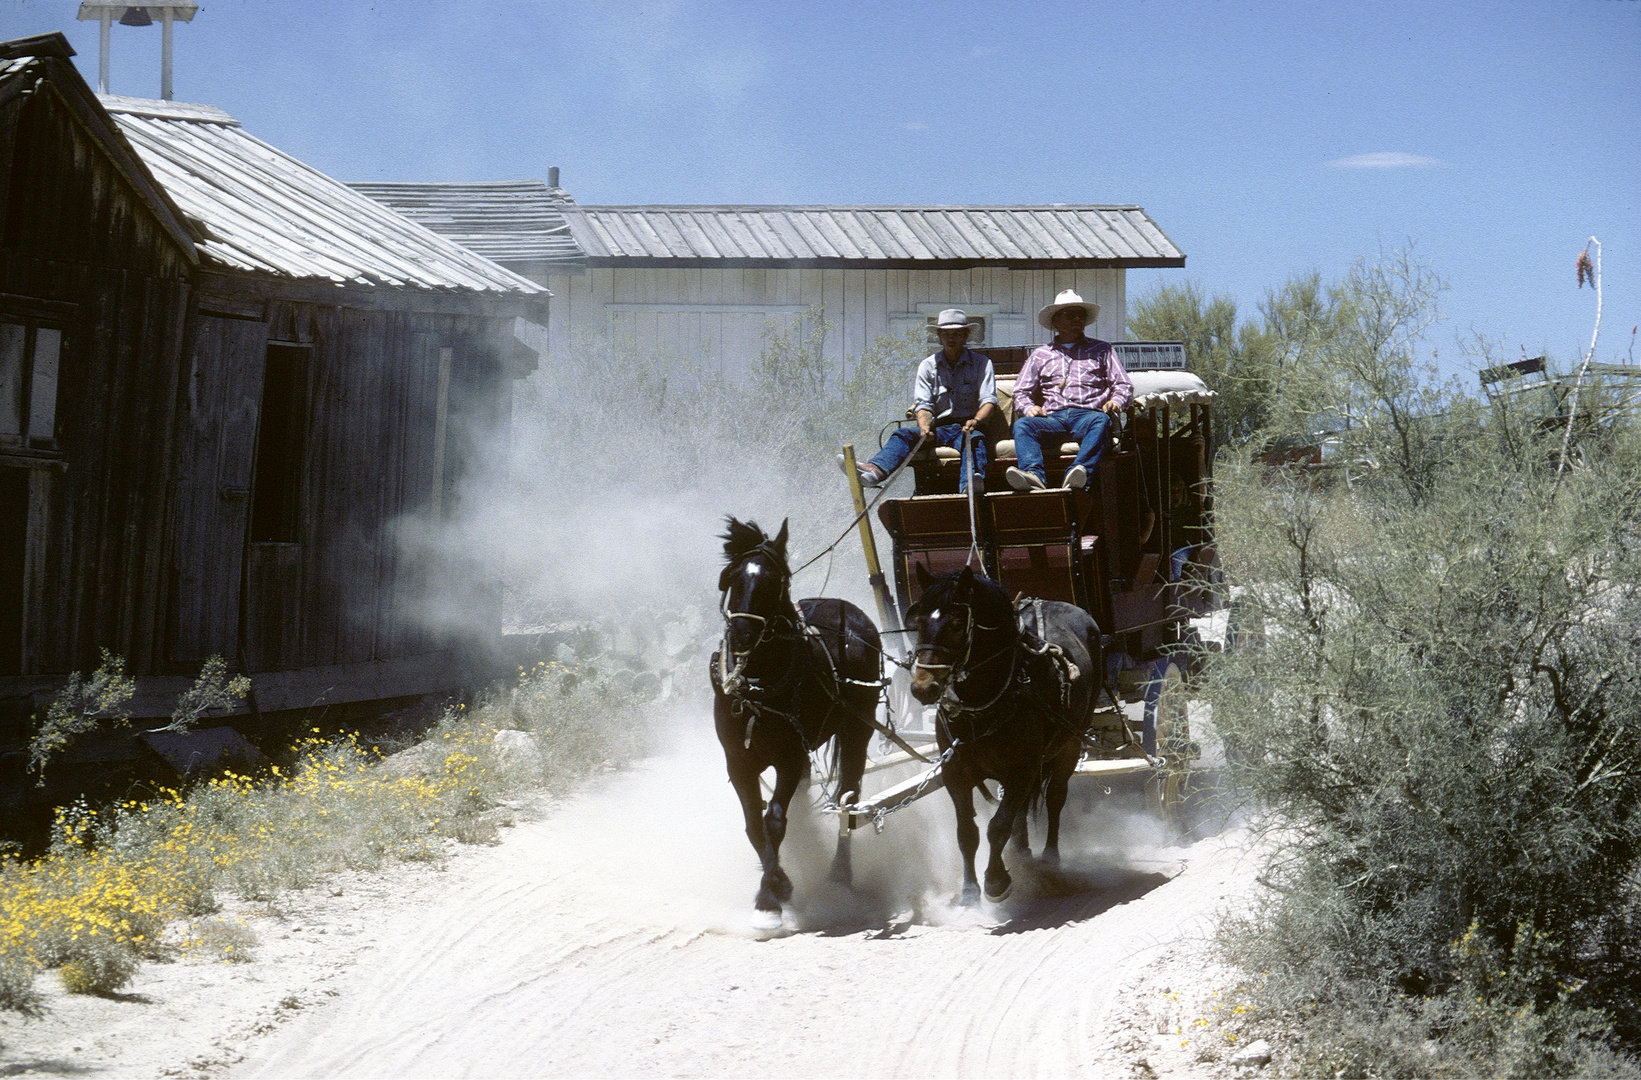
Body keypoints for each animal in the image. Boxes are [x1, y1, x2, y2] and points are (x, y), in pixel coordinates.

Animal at [708, 515, 886, 925]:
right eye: (732, 577)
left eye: (774, 582)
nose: (742, 633)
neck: (757, 686)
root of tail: (849, 608)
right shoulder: (738, 762)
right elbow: (754, 826)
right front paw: (774, 883)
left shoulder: (789, 757)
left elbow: (774, 820)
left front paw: (772, 896)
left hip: (858, 728)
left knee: (848, 798)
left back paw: (840, 874)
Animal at [905, 564, 1096, 899]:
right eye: (919, 621)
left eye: (956, 624)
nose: (922, 687)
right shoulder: (955, 773)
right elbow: (967, 832)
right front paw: (969, 890)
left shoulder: (1023, 769)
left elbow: (998, 826)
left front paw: (995, 881)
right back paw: (1020, 854)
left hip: (1070, 743)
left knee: (1055, 797)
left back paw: (1049, 858)